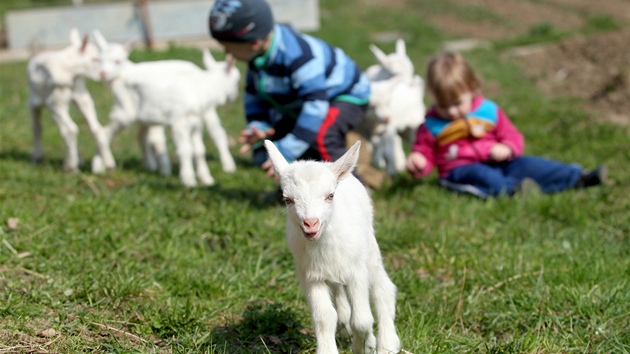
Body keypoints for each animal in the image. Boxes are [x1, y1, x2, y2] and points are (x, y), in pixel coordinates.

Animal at [26, 27, 115, 171]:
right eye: (96, 59)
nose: (103, 74)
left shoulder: (35, 102)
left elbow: (37, 127)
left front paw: (36, 157)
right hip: (81, 96)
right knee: (96, 127)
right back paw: (108, 163)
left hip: (55, 102)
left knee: (70, 129)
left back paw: (70, 166)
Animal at [266, 140, 400, 352]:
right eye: (287, 199)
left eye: (330, 196)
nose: (311, 223)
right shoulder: (312, 277)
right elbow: (324, 318)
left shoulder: (356, 272)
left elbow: (362, 319)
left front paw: (365, 346)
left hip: (370, 251)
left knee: (383, 290)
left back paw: (387, 344)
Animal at [362, 38, 428, 176]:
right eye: (394, 73)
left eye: (412, 70)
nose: (410, 84)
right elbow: (375, 143)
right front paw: (378, 163)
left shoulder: (388, 124)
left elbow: (385, 145)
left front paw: (387, 168)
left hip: (414, 121)